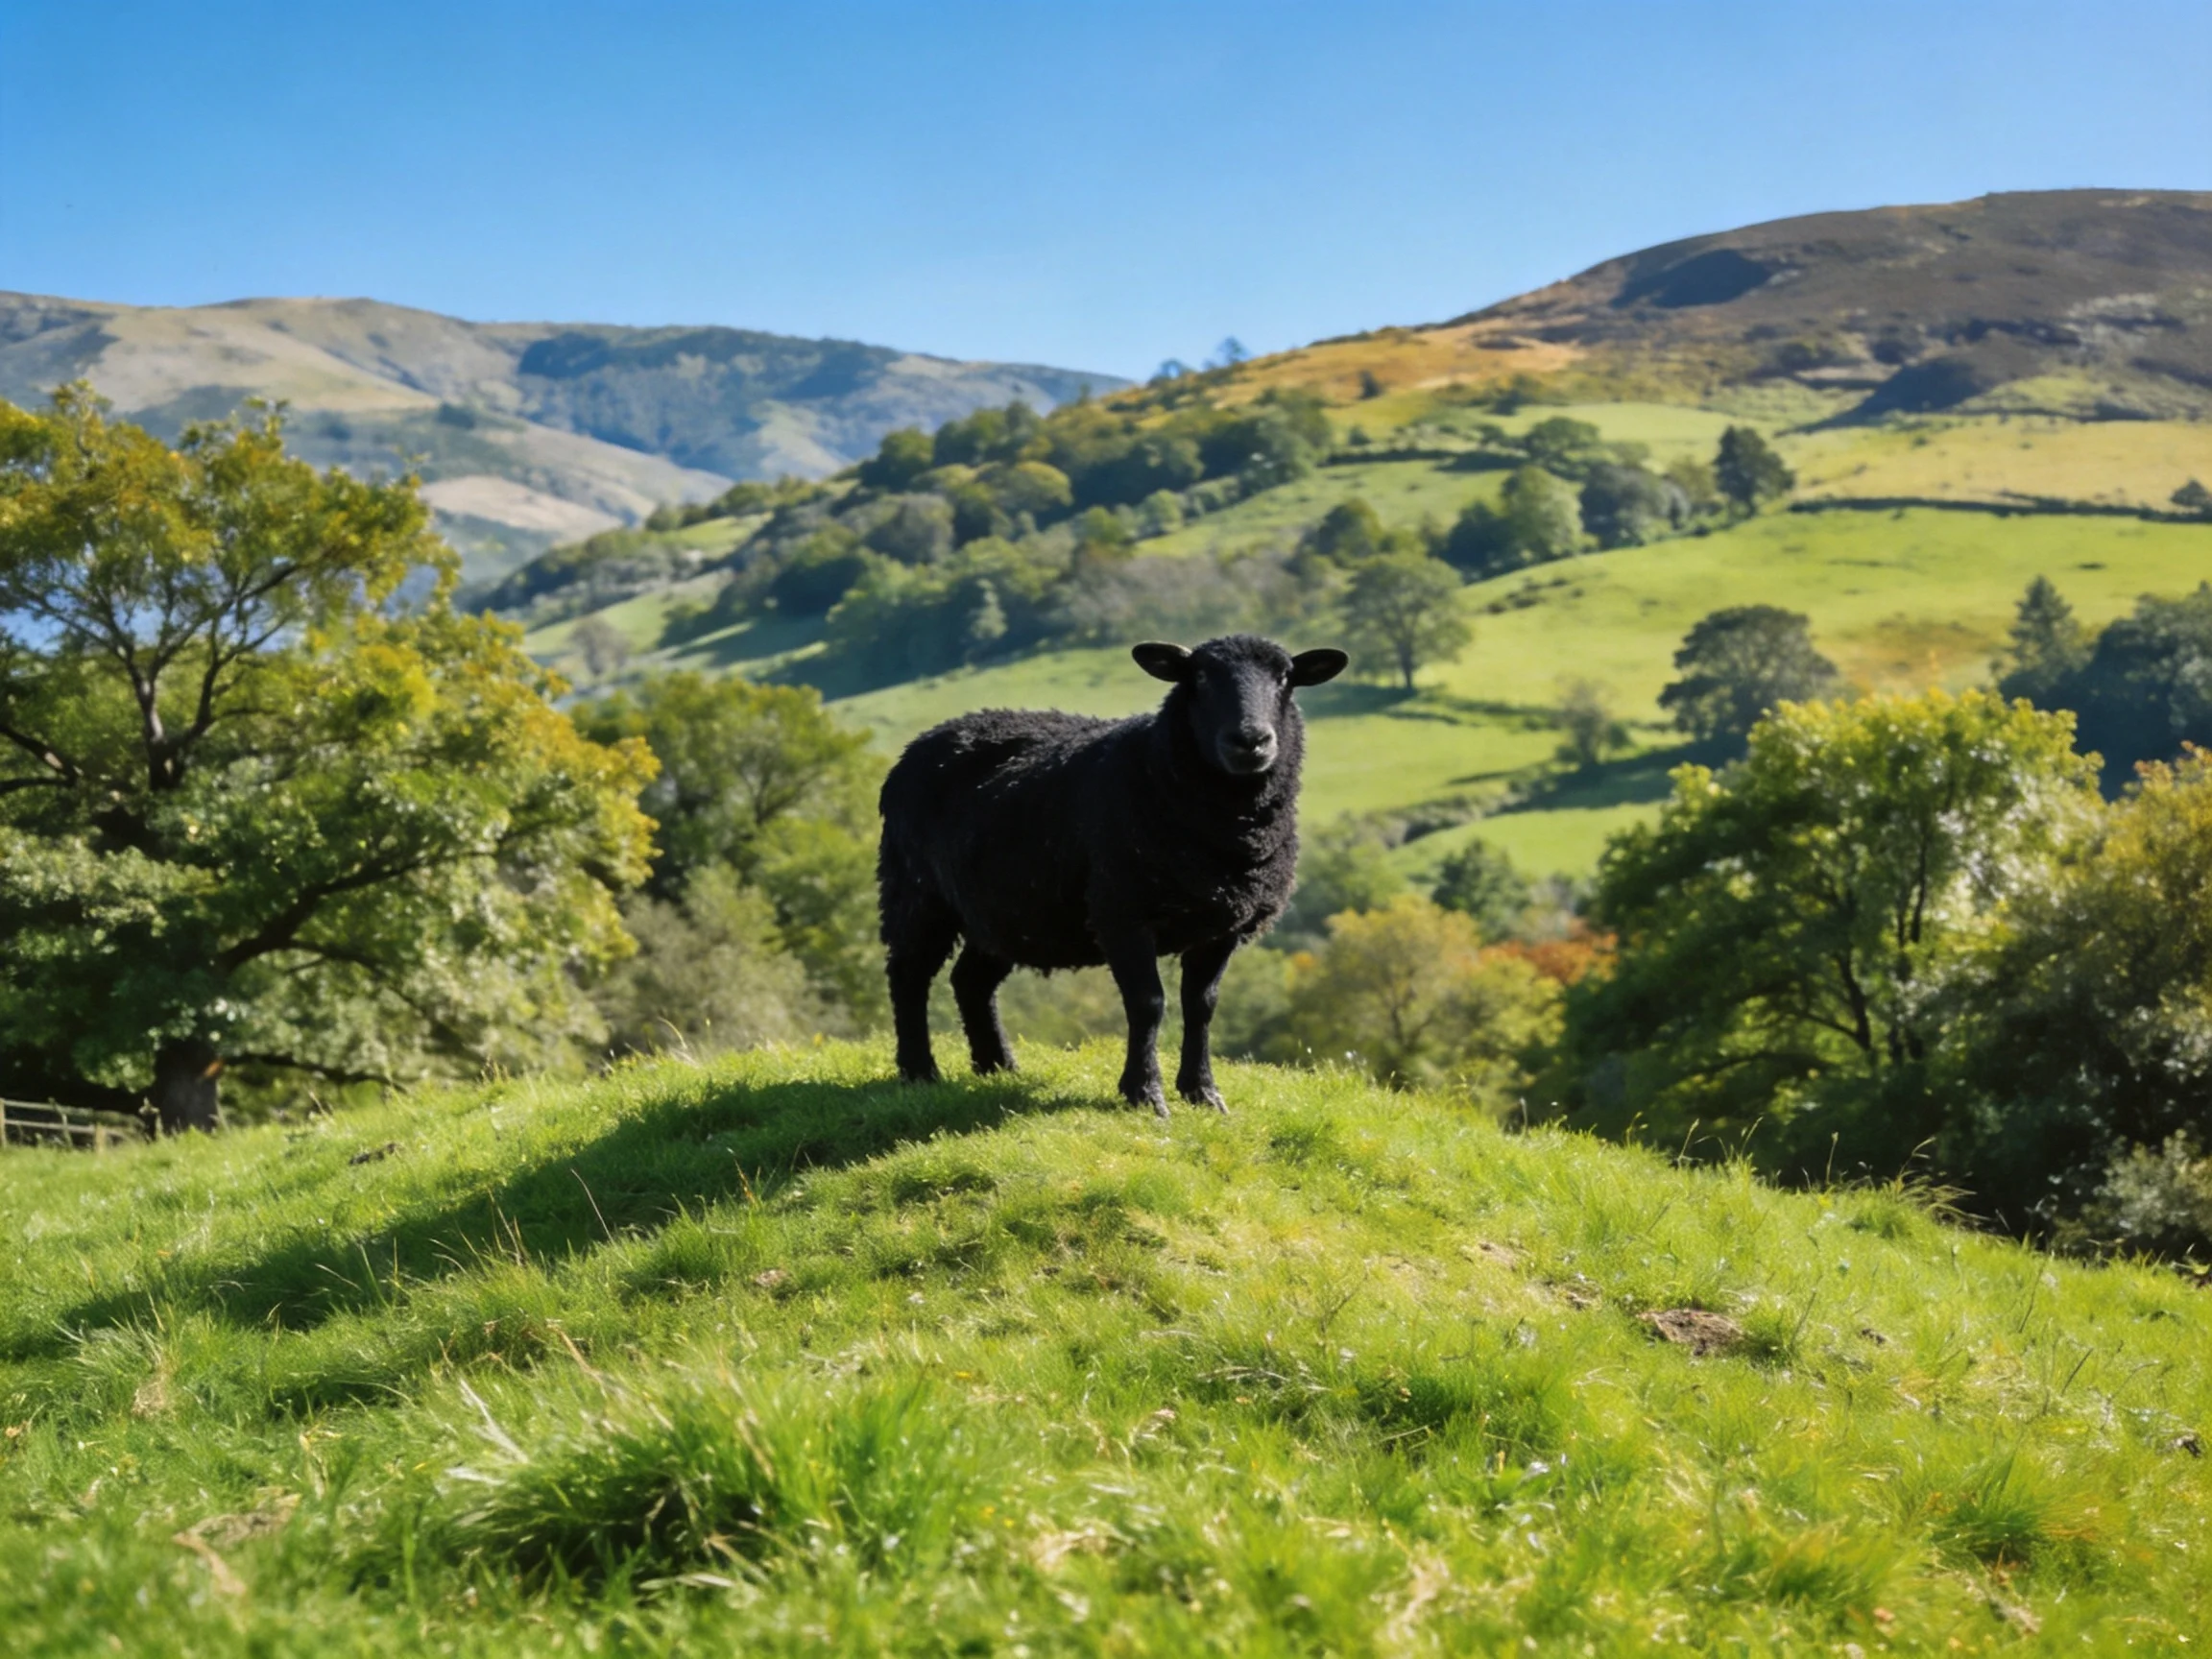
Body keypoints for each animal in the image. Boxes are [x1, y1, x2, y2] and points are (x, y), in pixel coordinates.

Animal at [876, 632, 1348, 1116]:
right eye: (1198, 677)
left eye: (1285, 678)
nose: (1250, 740)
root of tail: (926, 741)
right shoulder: (1122, 912)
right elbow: (1148, 1003)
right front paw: (1144, 1093)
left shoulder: (1222, 926)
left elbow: (1202, 1005)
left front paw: (1202, 1092)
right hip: (915, 892)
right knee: (909, 974)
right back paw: (919, 1070)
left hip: (1006, 911)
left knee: (970, 979)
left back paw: (997, 1066)